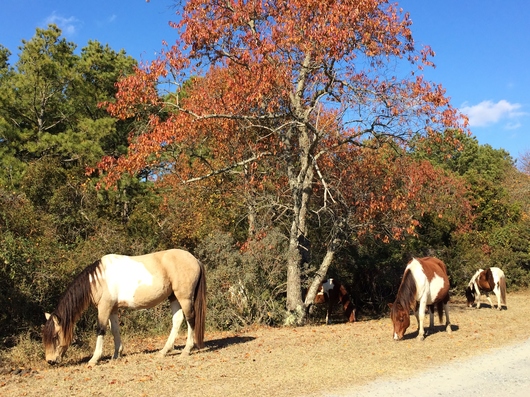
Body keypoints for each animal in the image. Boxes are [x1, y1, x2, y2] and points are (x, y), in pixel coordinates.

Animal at [43, 248, 205, 366]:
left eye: (55, 336)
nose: (50, 361)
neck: (98, 280)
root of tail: (195, 259)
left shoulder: (104, 307)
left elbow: (101, 329)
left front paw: (94, 359)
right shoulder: (113, 309)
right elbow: (115, 330)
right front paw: (116, 355)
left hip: (184, 297)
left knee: (190, 319)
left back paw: (186, 350)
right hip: (173, 297)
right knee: (177, 320)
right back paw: (163, 351)